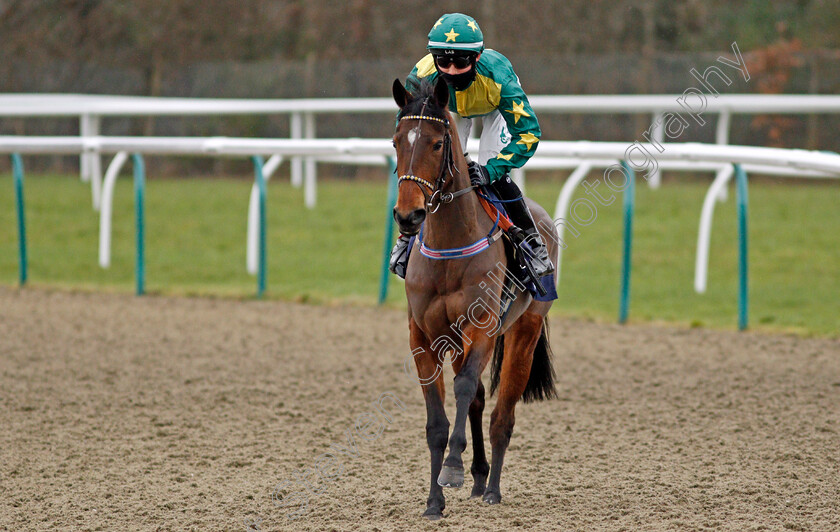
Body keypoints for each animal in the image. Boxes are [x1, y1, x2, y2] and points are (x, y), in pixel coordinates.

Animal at [392, 79, 556, 520]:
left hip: (523, 330)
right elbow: (437, 421)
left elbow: (464, 388)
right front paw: (434, 500)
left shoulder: (481, 326)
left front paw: (451, 468)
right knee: (481, 403)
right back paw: (480, 477)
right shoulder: (424, 337)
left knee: (502, 414)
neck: (450, 245)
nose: (408, 216)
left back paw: (493, 487)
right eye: (396, 141)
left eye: (436, 144)